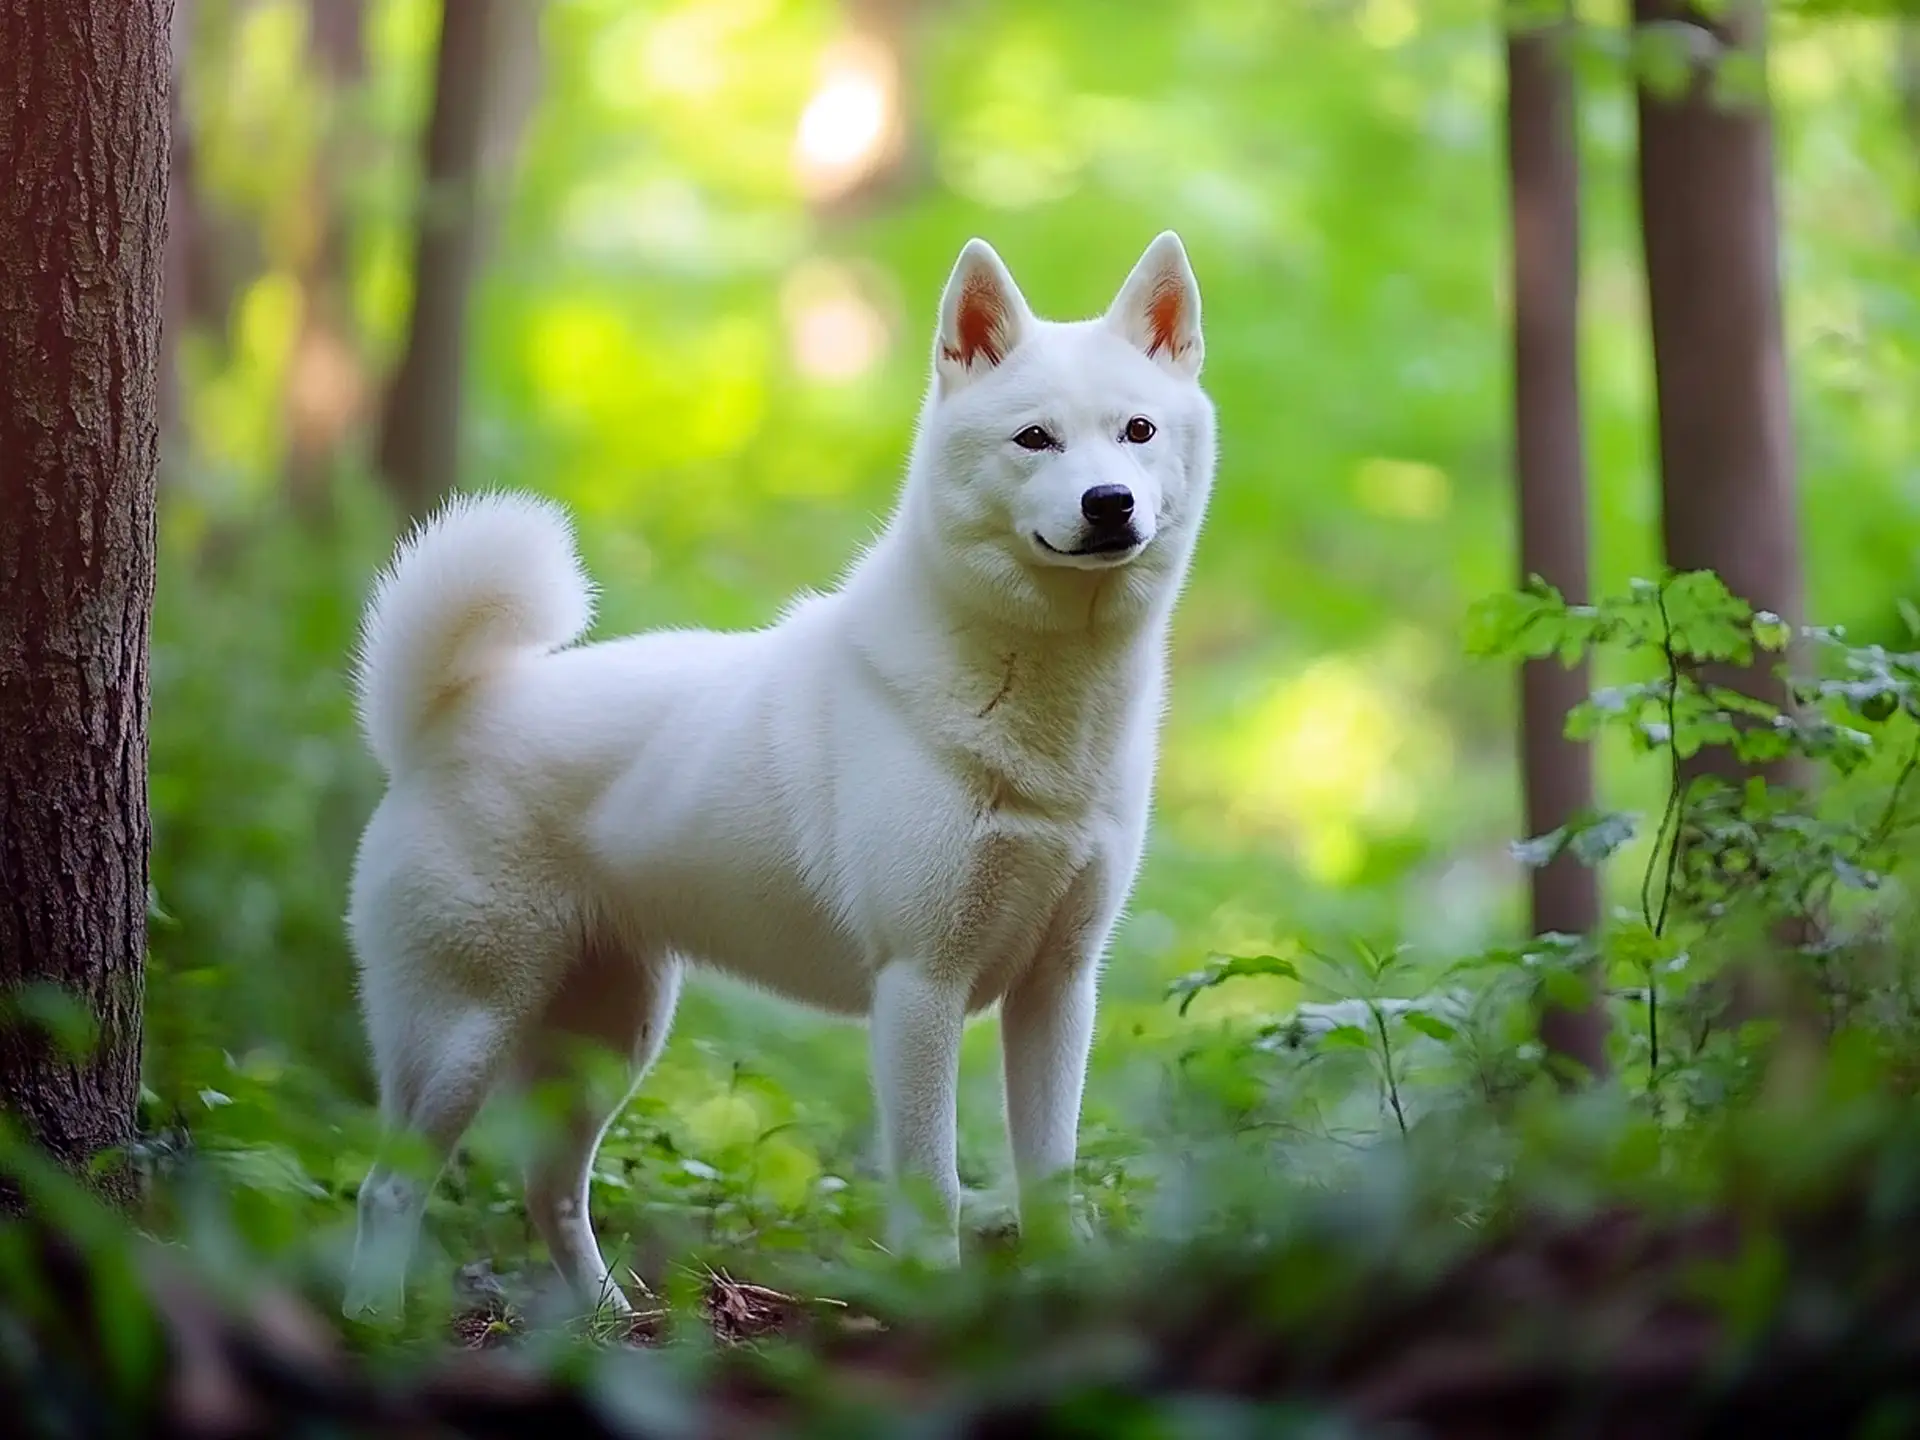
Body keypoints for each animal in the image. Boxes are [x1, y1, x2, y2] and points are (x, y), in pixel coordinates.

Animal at [343, 228, 1213, 1320]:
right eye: (1035, 440)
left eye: (1137, 430)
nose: (1111, 504)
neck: (1045, 705)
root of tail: (435, 718)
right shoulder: (919, 987)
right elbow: (932, 1187)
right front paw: (936, 1306)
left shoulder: (1059, 987)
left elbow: (1049, 1174)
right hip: (462, 1034)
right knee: (389, 1188)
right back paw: (377, 1322)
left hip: (609, 1039)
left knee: (549, 1191)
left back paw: (610, 1320)